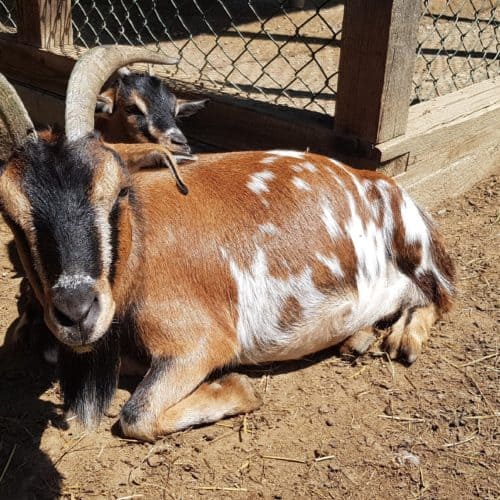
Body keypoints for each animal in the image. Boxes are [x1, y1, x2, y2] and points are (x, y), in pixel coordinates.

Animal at [0, 59, 454, 442]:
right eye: (9, 215)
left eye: (118, 192)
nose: (77, 313)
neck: (138, 253)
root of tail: (379, 180)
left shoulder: (200, 341)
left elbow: (136, 416)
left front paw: (239, 387)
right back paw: (358, 338)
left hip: (416, 245)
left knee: (440, 295)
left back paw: (403, 340)